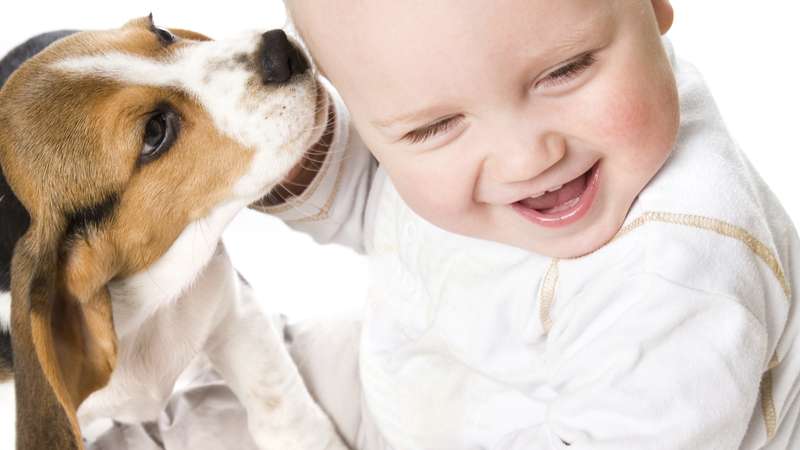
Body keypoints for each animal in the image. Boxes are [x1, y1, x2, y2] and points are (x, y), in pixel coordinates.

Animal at [0, 15, 346, 448]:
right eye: (154, 131)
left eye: (161, 32)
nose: (279, 49)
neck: (140, 303)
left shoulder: (235, 308)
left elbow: (280, 408)